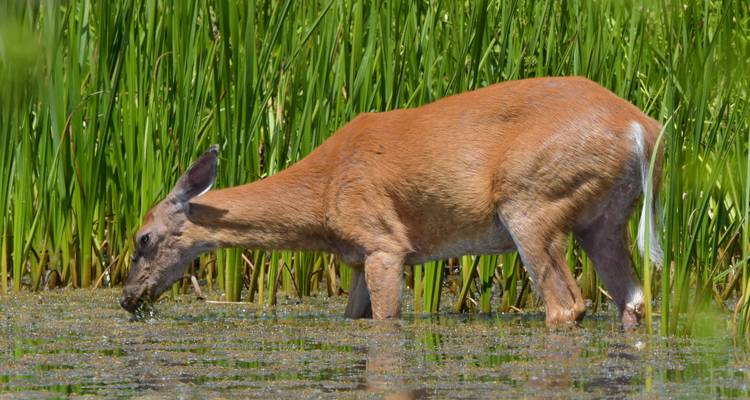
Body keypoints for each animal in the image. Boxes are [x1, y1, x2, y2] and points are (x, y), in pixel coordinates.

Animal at [120, 76, 664, 329]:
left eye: (142, 239)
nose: (127, 298)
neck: (322, 196)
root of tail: (643, 127)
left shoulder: (383, 242)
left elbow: (385, 321)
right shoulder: (360, 256)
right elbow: (353, 317)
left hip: (532, 202)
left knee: (567, 306)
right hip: (603, 218)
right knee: (633, 300)